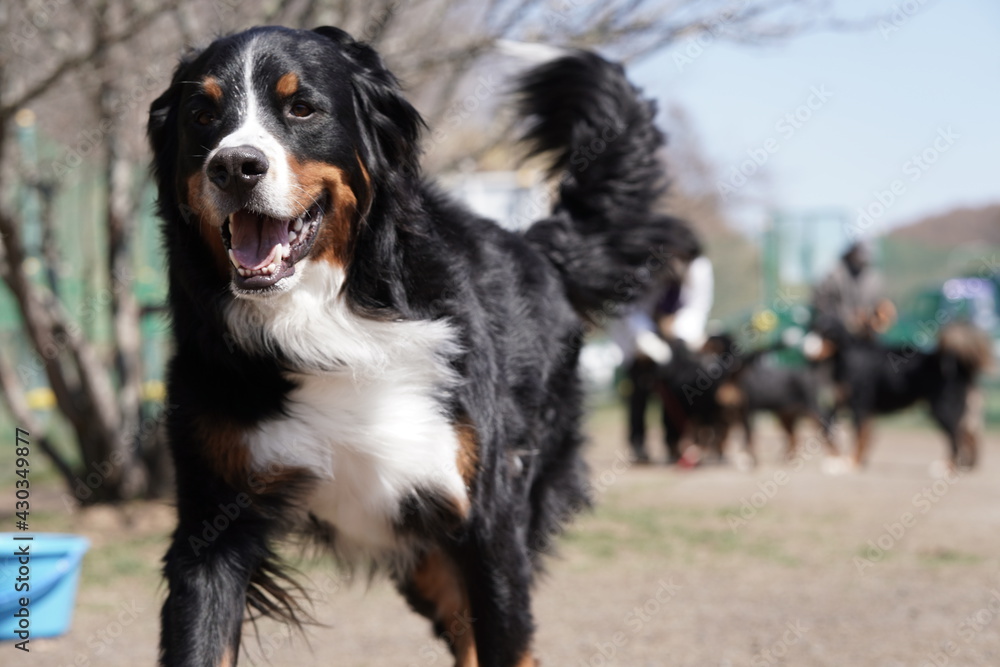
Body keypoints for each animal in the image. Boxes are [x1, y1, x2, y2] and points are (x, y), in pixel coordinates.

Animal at [148, 26, 700, 667]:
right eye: (202, 115)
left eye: (301, 108)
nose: (235, 166)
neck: (329, 320)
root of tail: (538, 246)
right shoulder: (211, 531)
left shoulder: (485, 520)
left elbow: (508, 639)